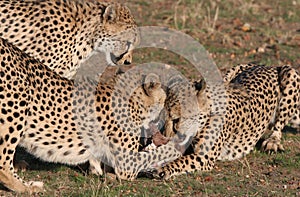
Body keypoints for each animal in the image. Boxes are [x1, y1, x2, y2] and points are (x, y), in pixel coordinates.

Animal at [0, 37, 180, 193]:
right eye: (164, 100)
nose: (168, 119)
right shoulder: (127, 165)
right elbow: (147, 160)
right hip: (16, 110)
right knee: (3, 163)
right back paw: (28, 187)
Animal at [154, 63, 298, 179]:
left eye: (176, 119)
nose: (165, 137)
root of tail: (267, 66)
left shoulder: (204, 157)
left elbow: (181, 161)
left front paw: (163, 169)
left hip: (290, 73)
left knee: (278, 126)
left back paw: (273, 142)